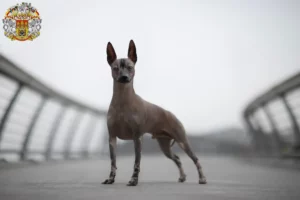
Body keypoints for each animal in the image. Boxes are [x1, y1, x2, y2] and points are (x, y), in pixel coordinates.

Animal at [102, 39, 206, 187]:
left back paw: (202, 178)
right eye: (115, 68)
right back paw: (182, 177)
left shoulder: (137, 138)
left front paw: (134, 180)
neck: (123, 101)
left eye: (130, 67)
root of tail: (171, 114)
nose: (124, 77)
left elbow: (137, 162)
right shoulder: (112, 138)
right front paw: (111, 179)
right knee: (177, 158)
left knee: (195, 159)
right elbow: (113, 161)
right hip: (165, 147)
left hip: (183, 142)